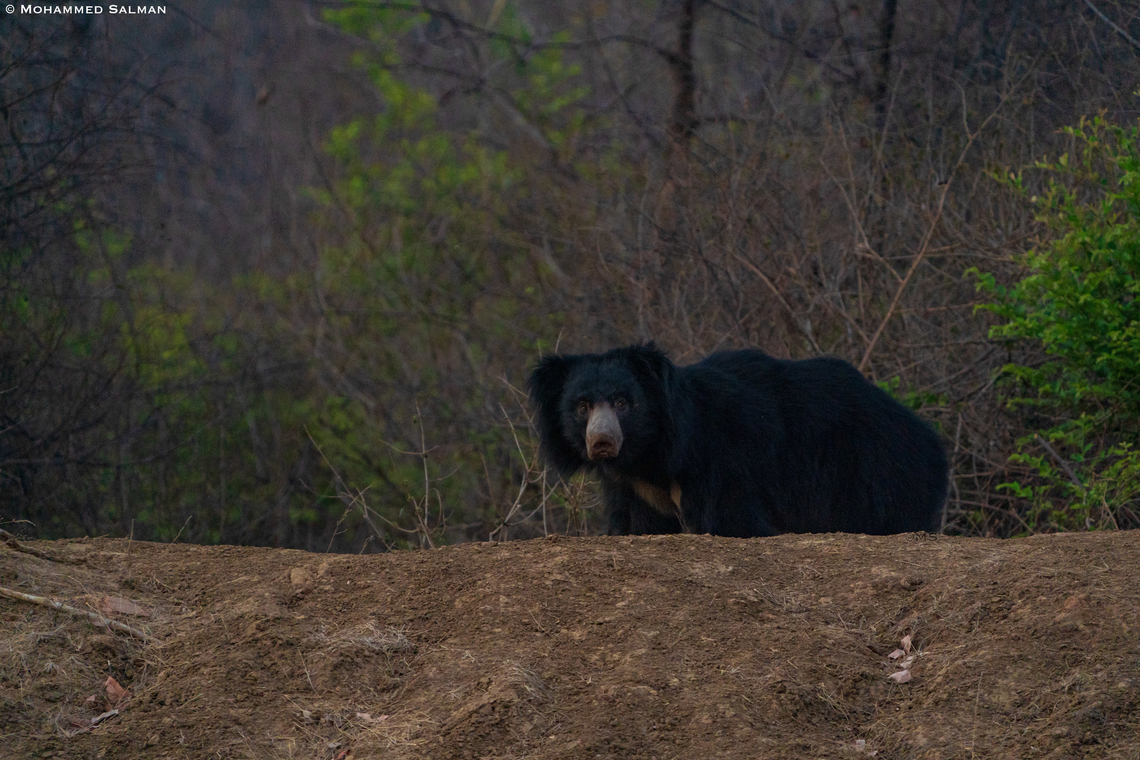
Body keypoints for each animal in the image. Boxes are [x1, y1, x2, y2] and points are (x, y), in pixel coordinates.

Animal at [527, 343, 948, 537]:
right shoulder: (637, 490)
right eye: (582, 406)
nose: (601, 441)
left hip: (874, 467)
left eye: (622, 402)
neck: (651, 456)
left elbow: (733, 518)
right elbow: (637, 525)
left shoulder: (723, 459)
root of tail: (928, 435)